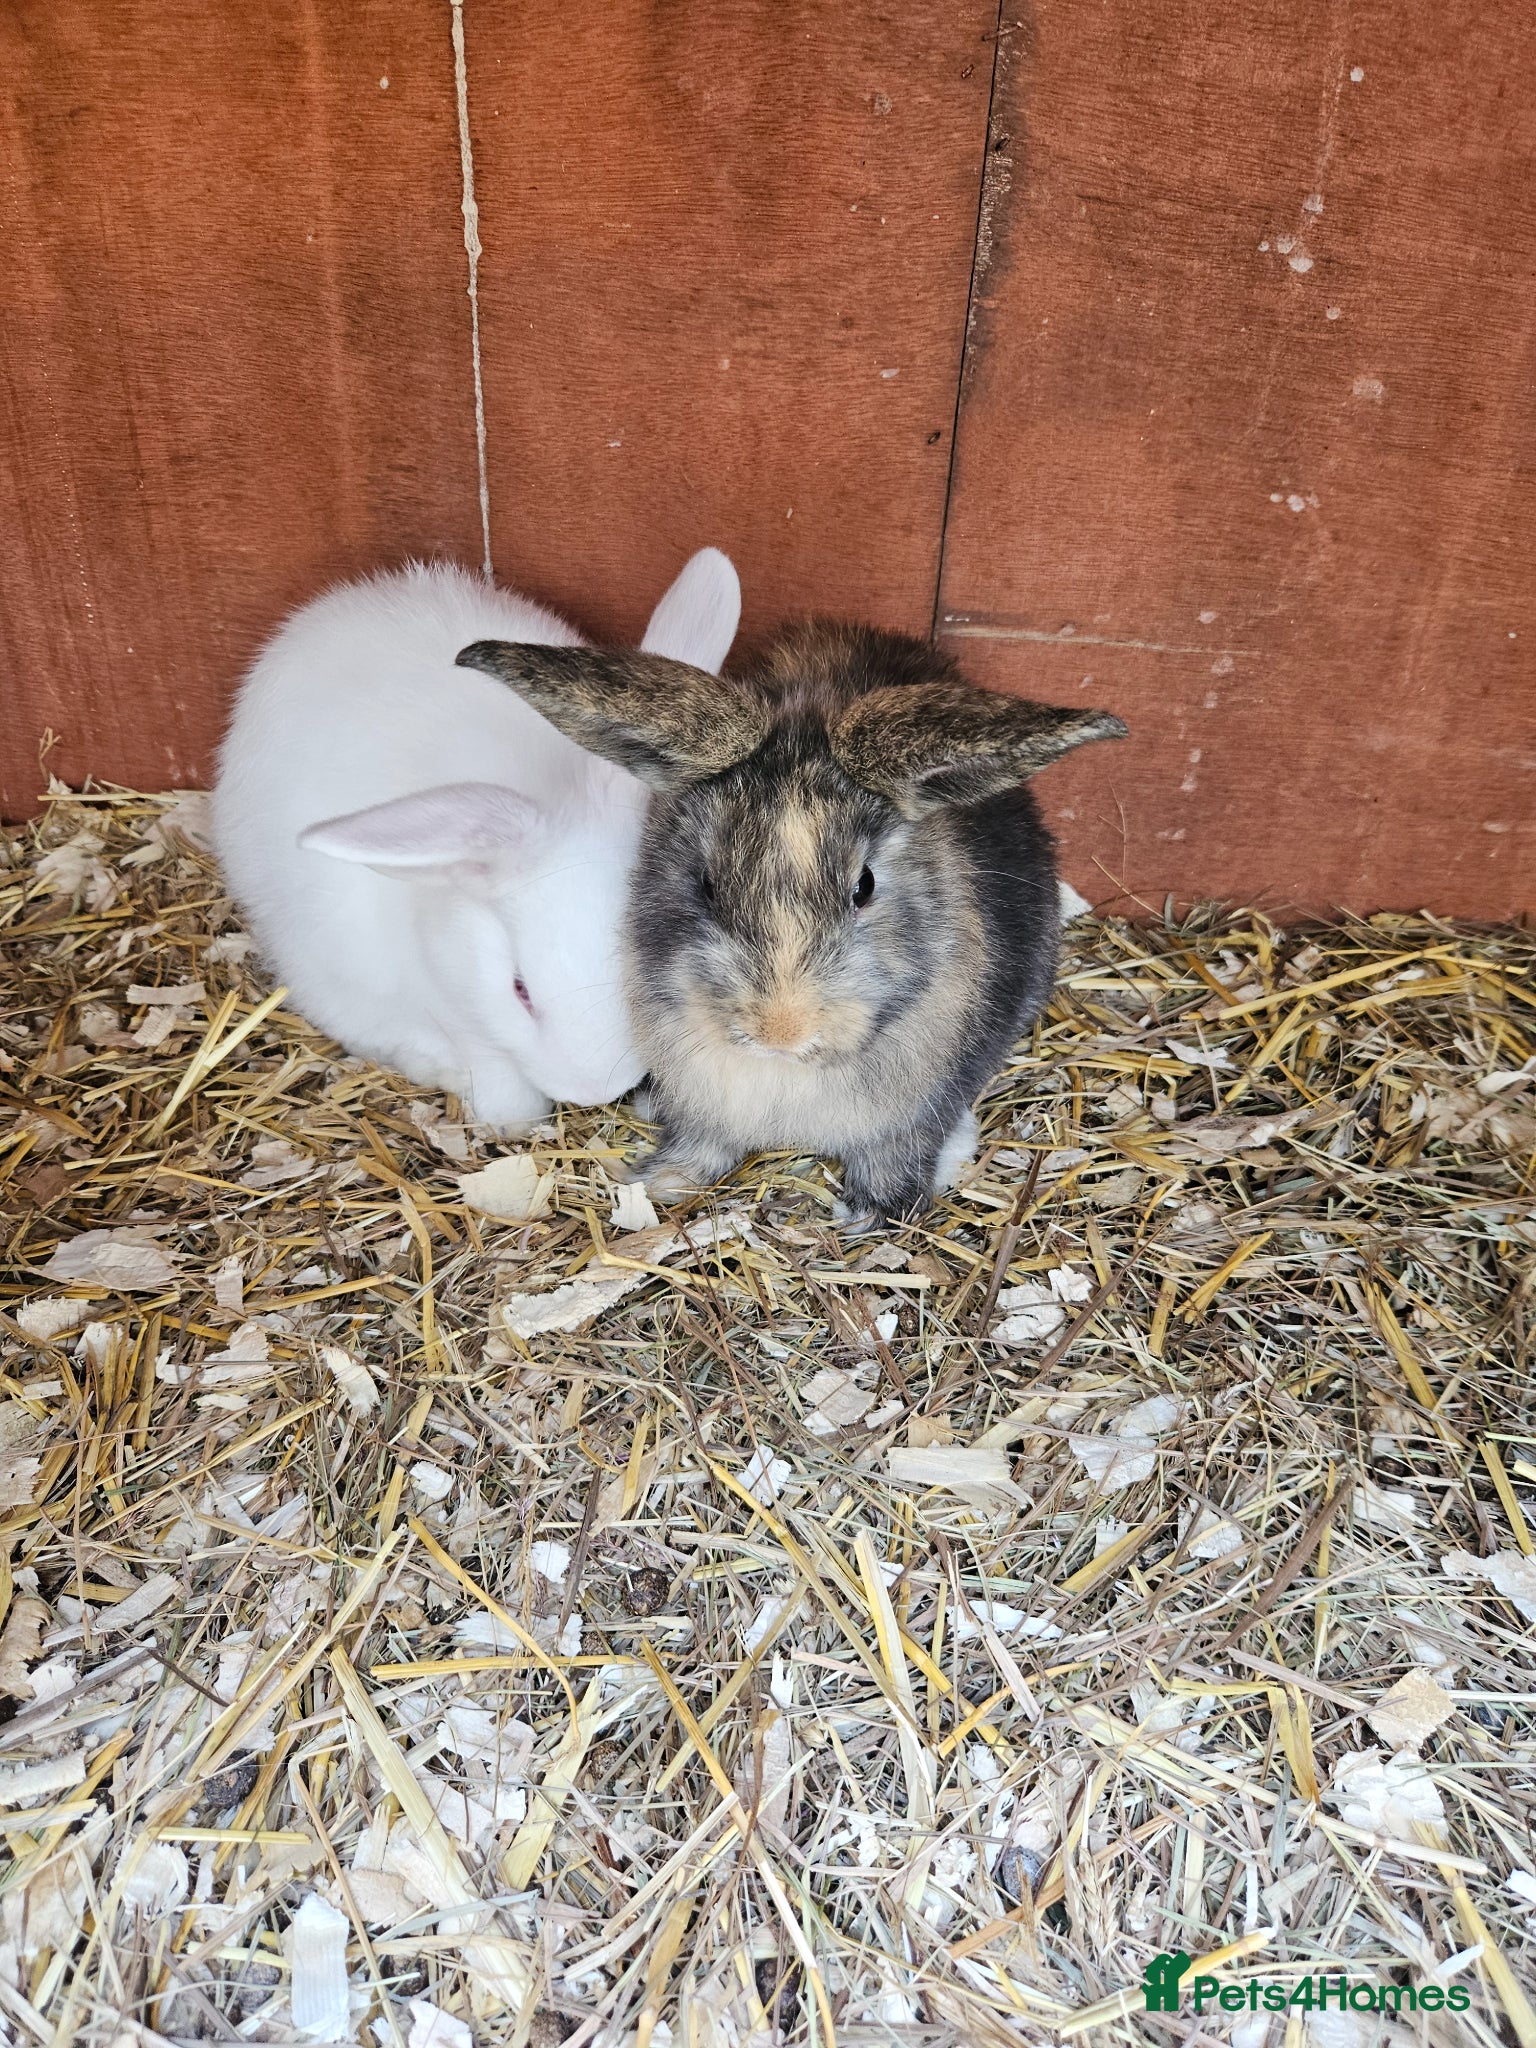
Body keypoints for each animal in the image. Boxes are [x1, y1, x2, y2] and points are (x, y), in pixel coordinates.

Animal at [452, 618, 1126, 1217]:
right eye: (706, 884)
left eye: (865, 885)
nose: (780, 1032)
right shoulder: (703, 1106)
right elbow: (702, 1144)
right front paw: (661, 1181)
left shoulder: (915, 1113)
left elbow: (894, 1155)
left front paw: (877, 1214)